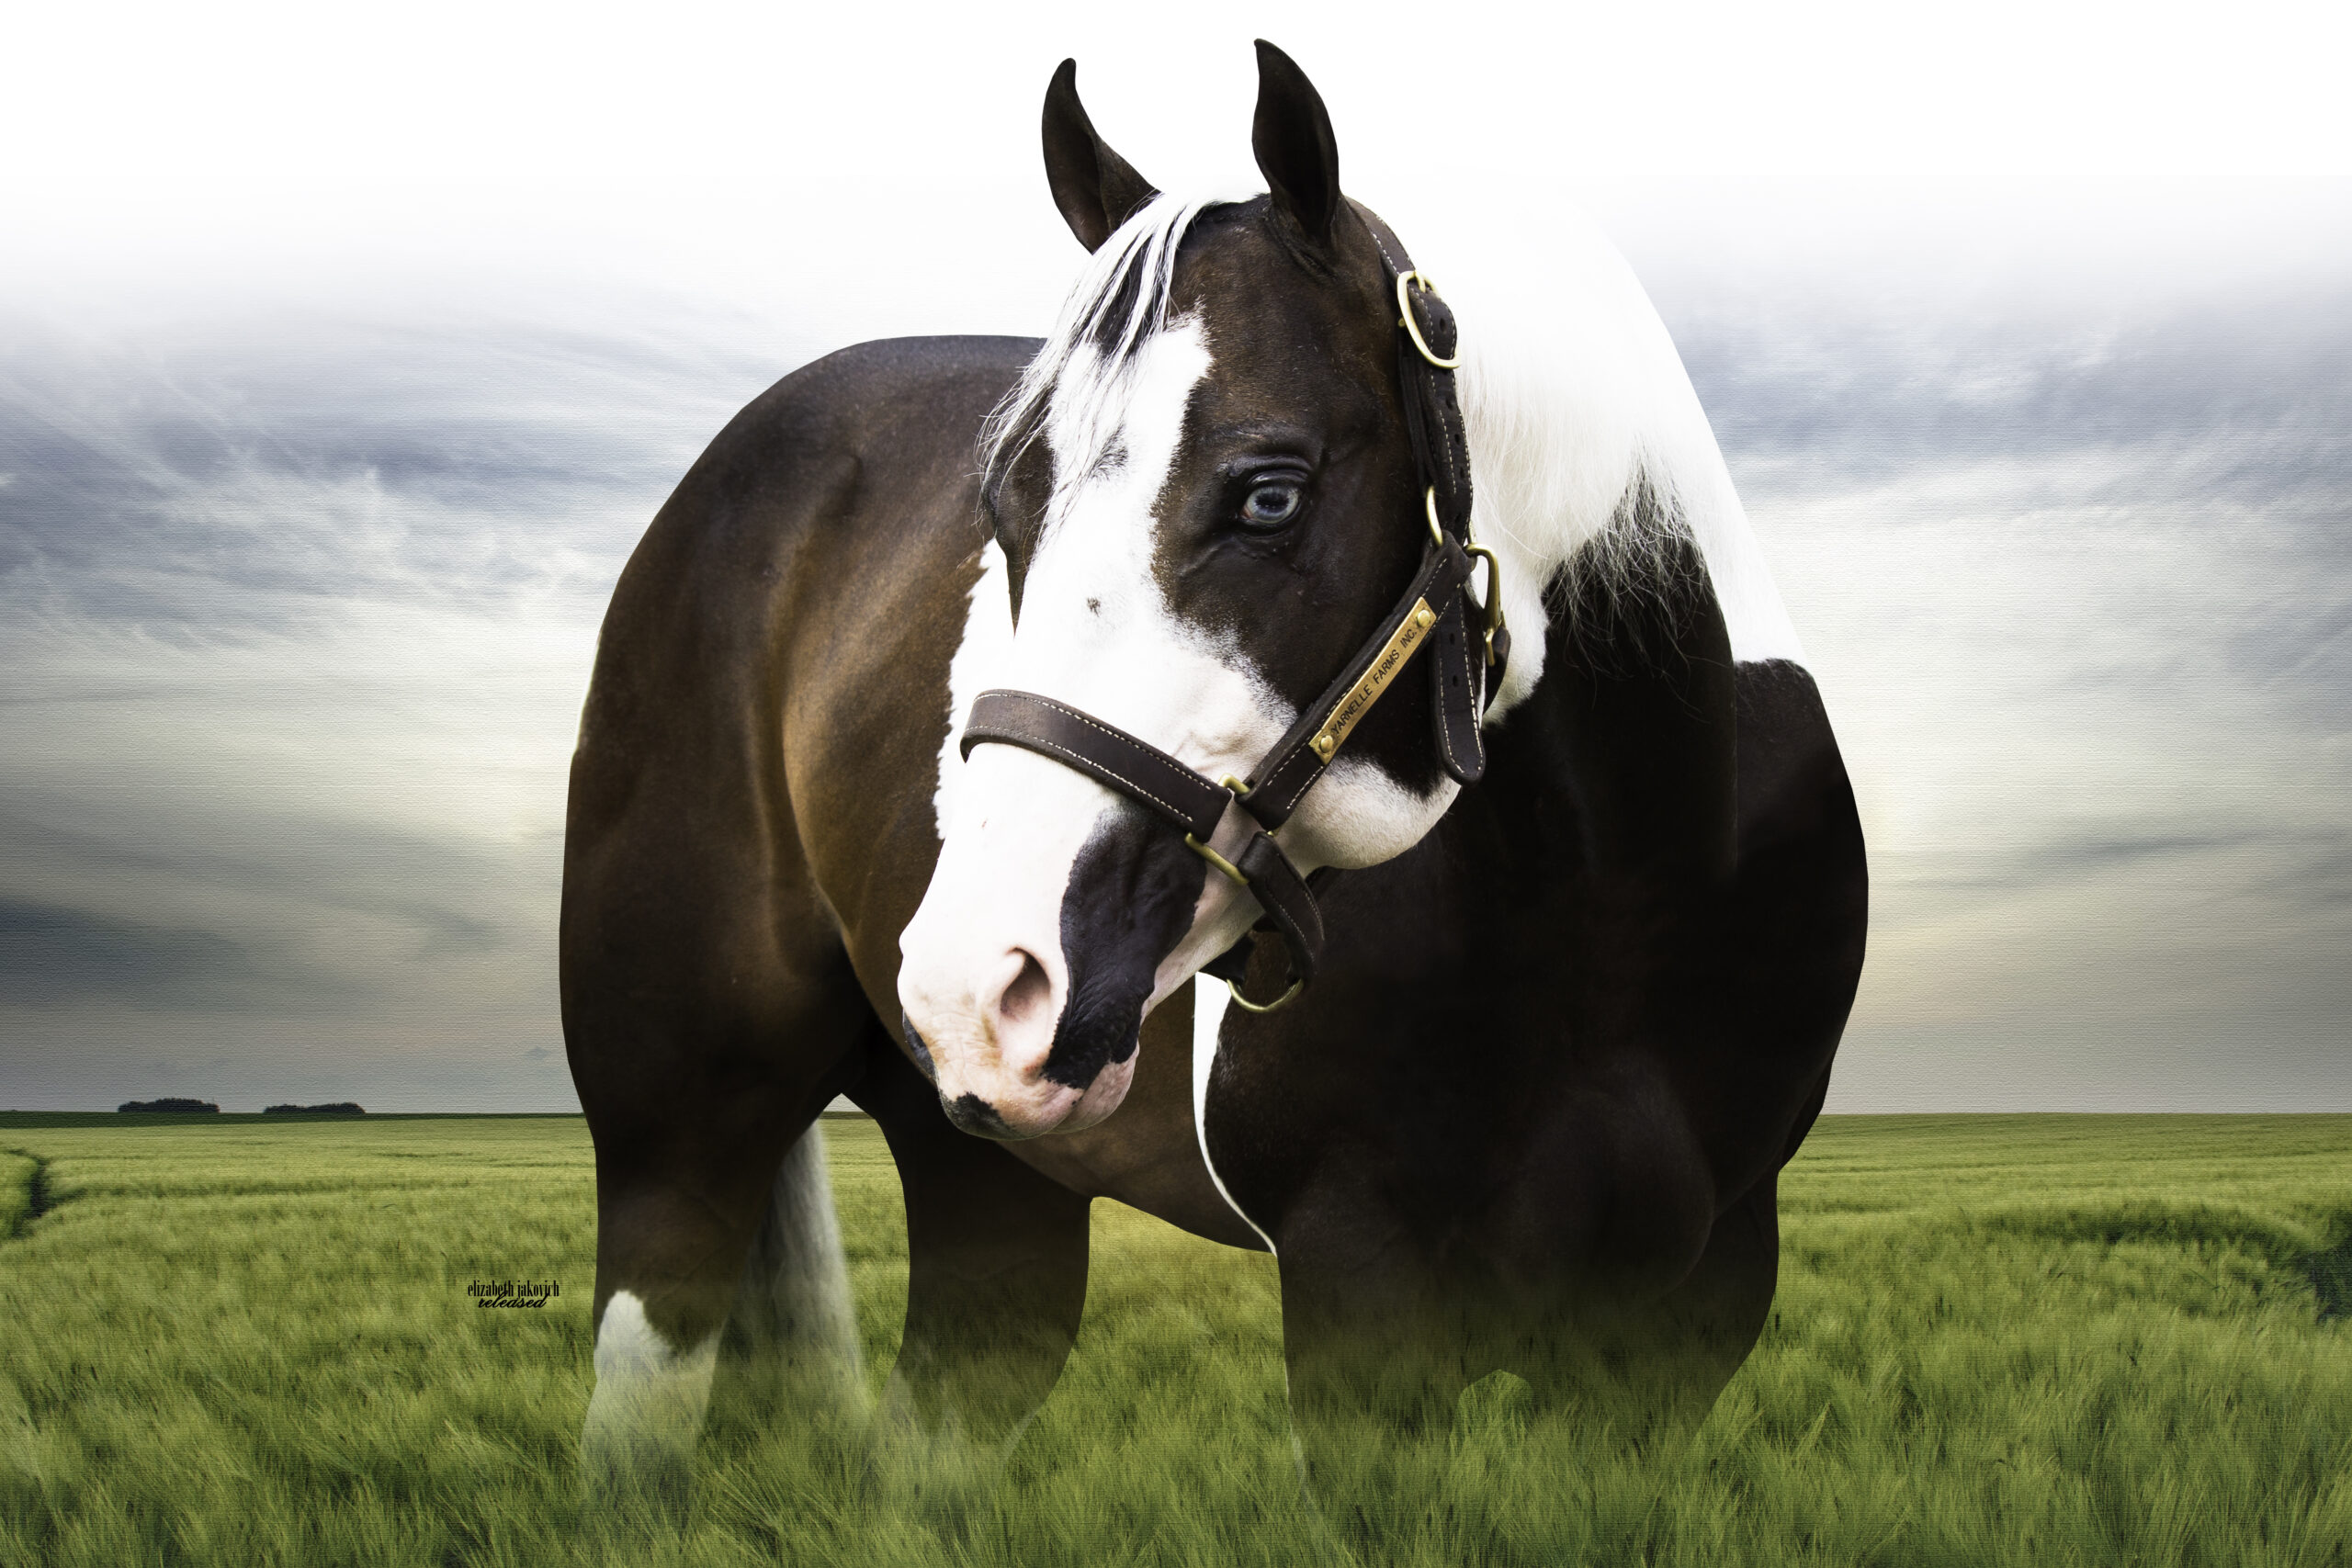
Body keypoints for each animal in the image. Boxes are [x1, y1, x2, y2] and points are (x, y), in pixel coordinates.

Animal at [560, 42, 1862, 1523]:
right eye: (1005, 502)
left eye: (1270, 494)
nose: (972, 987)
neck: (1625, 897)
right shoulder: (1361, 1286)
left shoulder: (1694, 1306)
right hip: (676, 1143)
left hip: (992, 1182)